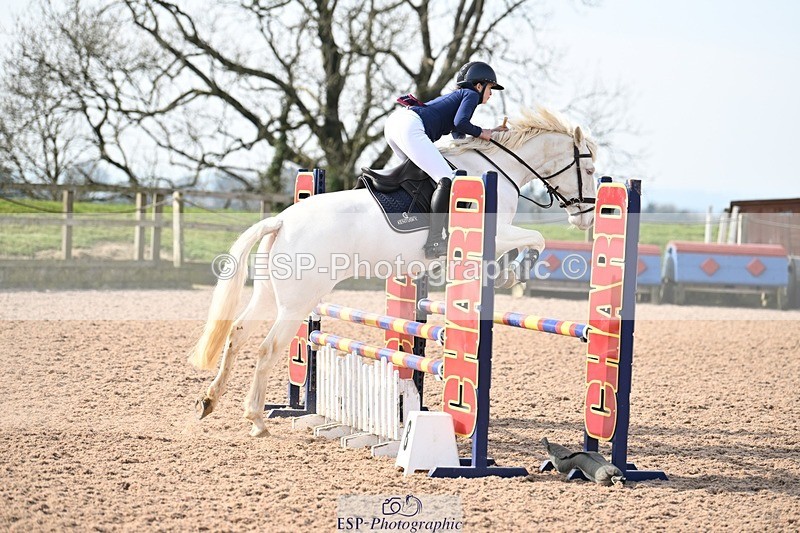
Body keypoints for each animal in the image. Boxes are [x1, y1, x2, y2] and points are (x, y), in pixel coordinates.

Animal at [188, 107, 598, 437]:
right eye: (590, 168)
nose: (587, 218)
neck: (499, 171)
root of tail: (280, 221)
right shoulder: (496, 234)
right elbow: (536, 239)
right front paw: (512, 274)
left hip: (271, 294)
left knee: (238, 333)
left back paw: (209, 401)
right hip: (298, 302)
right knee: (267, 348)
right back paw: (256, 419)